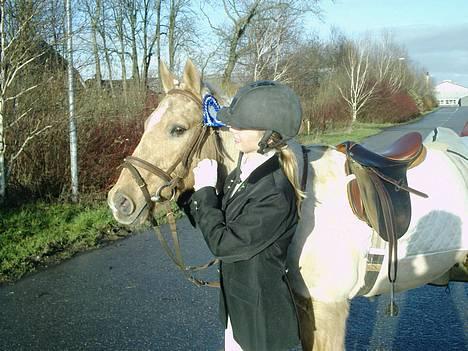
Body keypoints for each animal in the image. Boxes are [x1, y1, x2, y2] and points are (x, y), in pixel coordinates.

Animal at [108, 59, 468, 350]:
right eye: (146, 125)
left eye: (178, 129)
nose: (119, 201)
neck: (304, 198)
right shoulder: (306, 305)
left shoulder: (330, 306)